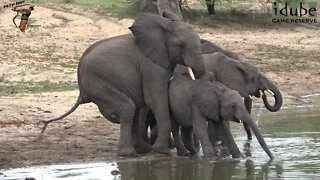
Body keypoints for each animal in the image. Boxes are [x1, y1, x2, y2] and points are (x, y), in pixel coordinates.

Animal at [40, 12, 206, 156]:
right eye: (181, 45)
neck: (165, 26)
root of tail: (81, 88)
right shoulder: (151, 67)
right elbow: (155, 100)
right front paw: (162, 151)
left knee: (134, 109)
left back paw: (142, 150)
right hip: (100, 85)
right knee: (128, 107)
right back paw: (129, 154)